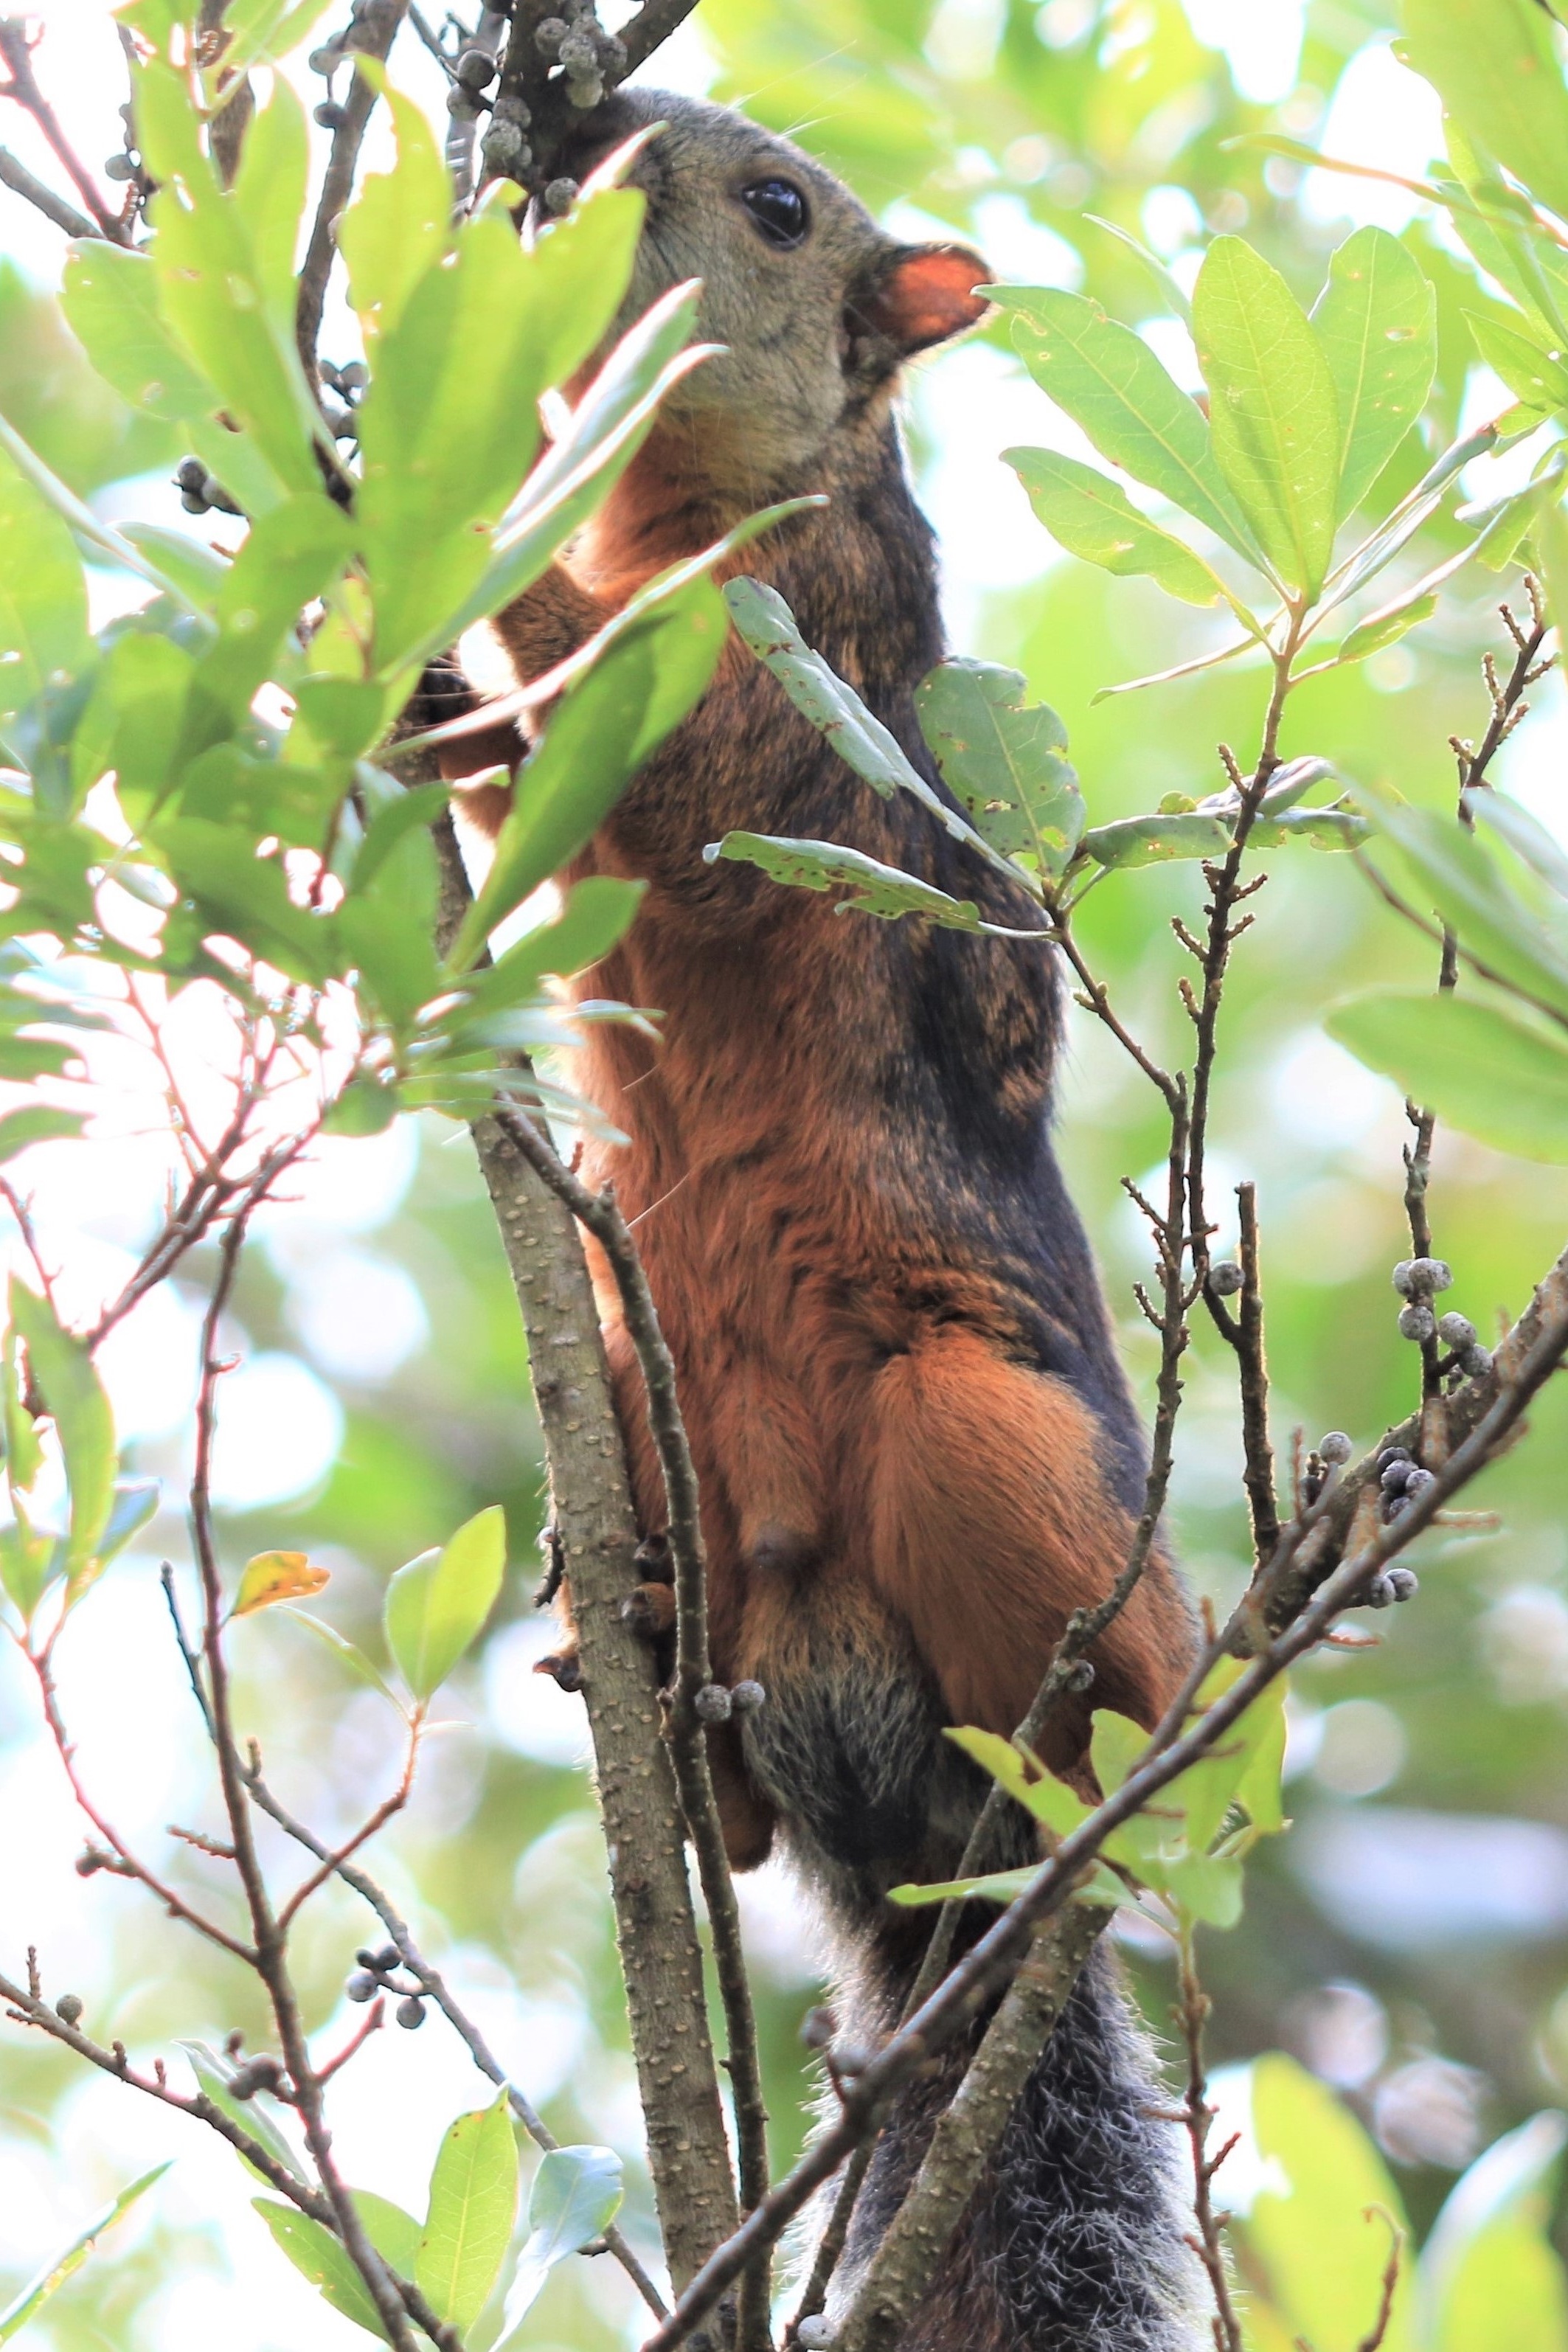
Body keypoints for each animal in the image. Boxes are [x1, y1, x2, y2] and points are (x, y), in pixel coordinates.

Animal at [442, 86, 1203, 2352]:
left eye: (778, 207)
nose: (579, 144)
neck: (687, 503)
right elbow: (526, 818)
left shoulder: (808, 667)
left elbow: (666, 770)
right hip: (649, 1407)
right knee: (749, 1818)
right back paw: (633, 1661)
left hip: (987, 1434)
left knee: (1122, 1707)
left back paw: (1076, 1778)